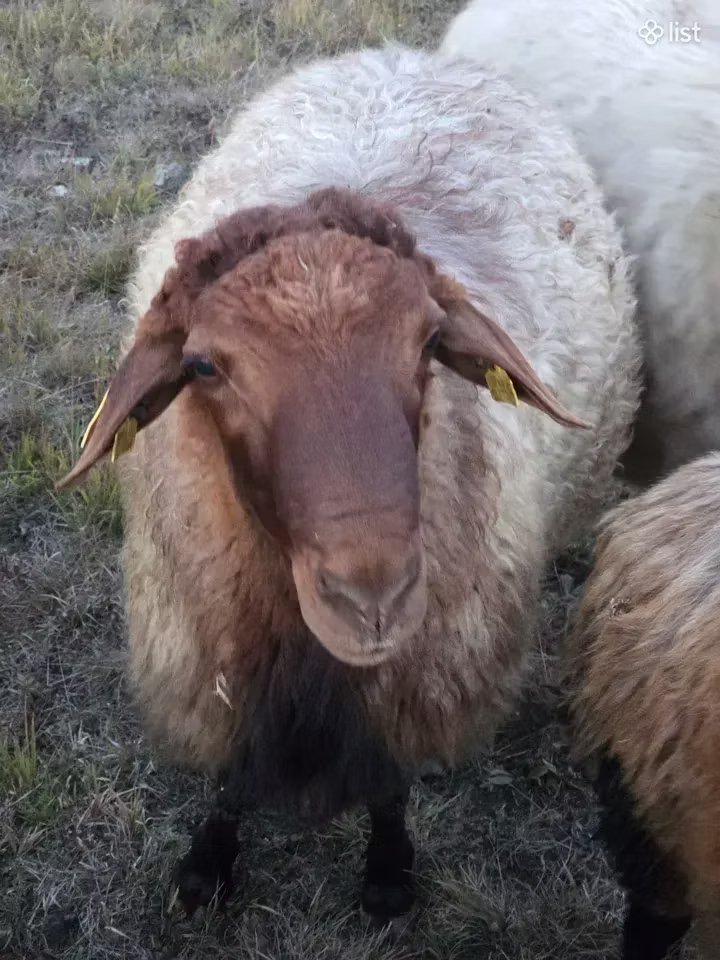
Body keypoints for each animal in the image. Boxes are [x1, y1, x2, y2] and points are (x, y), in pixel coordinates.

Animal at [56, 43, 641, 920]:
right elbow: (230, 782)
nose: (374, 597)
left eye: (431, 341)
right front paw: (206, 868)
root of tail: (403, 56)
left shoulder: (410, 679)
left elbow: (390, 782)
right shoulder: (224, 669)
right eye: (203, 366)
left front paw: (389, 874)